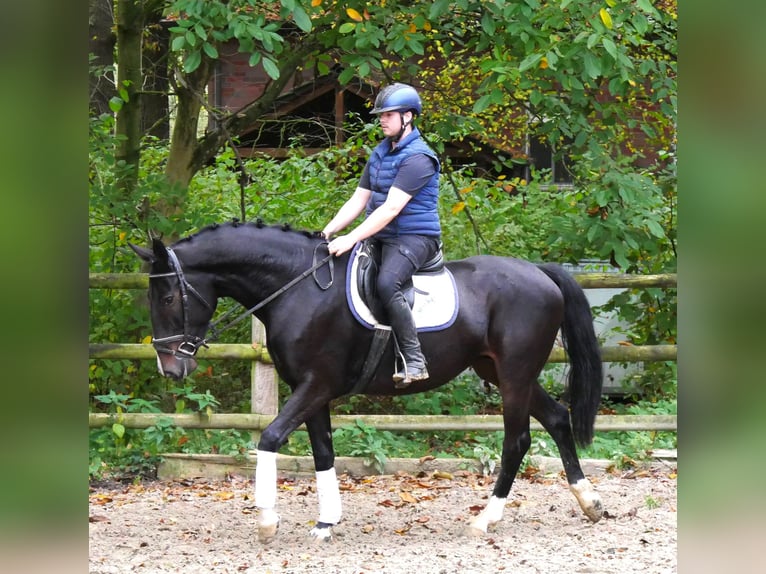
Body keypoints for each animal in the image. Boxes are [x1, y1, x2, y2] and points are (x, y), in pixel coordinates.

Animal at [132, 220, 608, 544]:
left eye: (169, 297)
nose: (170, 368)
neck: (297, 289)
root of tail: (540, 273)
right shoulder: (312, 391)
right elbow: (323, 452)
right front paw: (326, 522)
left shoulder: (316, 385)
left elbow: (269, 438)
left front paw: (267, 521)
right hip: (502, 371)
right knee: (557, 418)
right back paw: (590, 503)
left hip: (513, 374)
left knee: (517, 440)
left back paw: (485, 519)